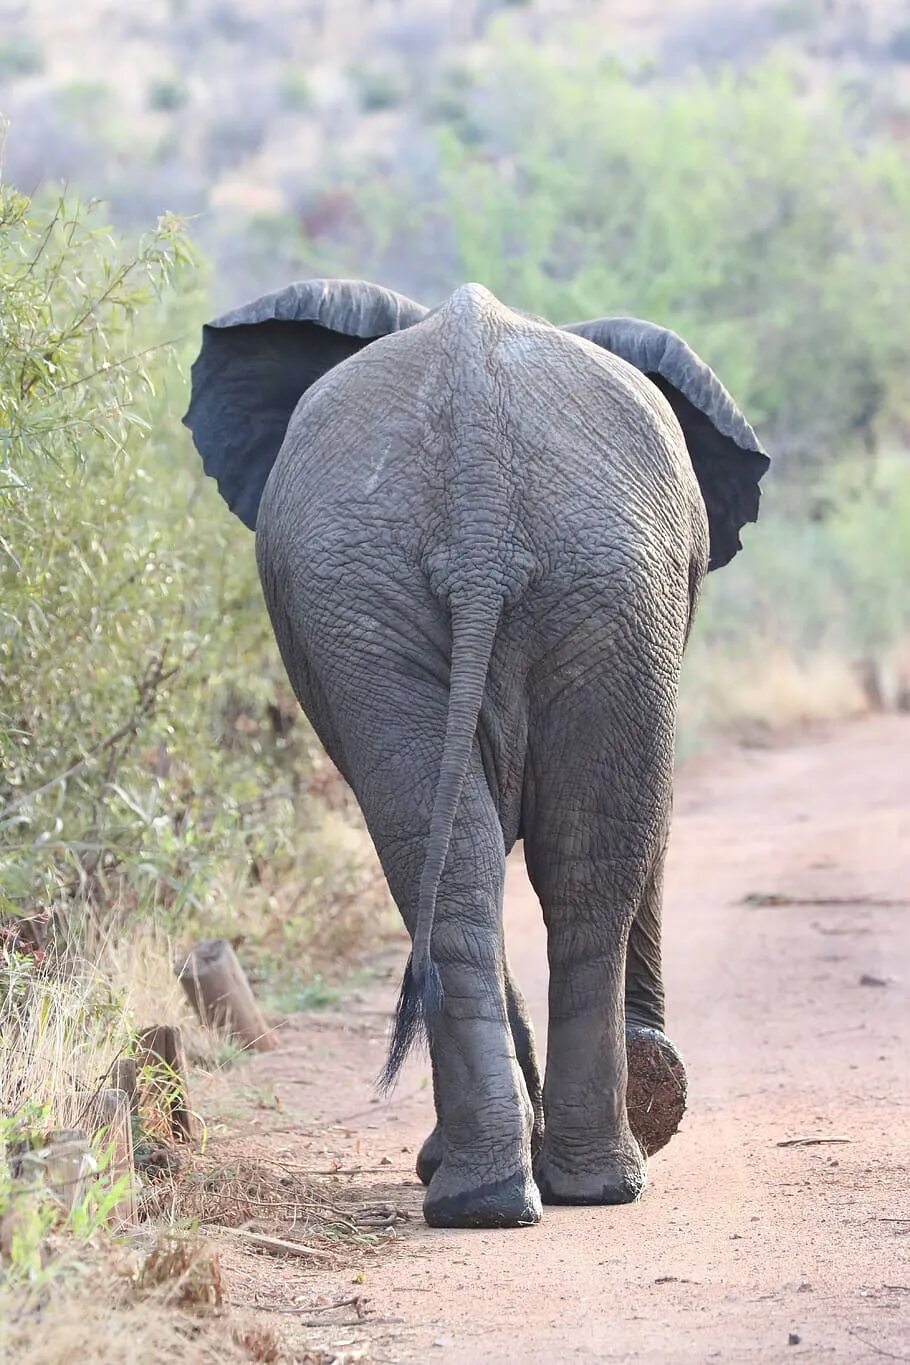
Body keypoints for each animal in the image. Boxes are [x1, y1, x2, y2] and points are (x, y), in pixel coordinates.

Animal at [182, 274, 769, 1228]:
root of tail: (479, 463)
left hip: (568, 580)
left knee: (520, 859)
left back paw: (538, 1186)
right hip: (483, 584)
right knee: (521, 863)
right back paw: (536, 1187)